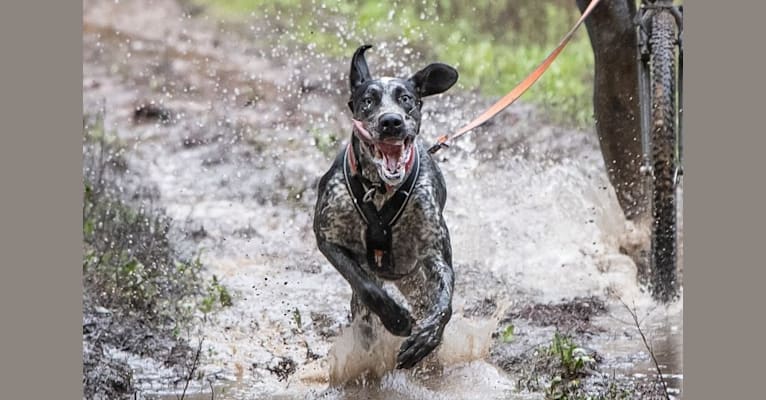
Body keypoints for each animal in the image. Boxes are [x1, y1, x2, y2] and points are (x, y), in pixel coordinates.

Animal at [314, 44, 460, 368]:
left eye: (406, 98)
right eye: (368, 101)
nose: (391, 121)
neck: (380, 190)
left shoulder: (435, 253)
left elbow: (444, 303)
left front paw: (427, 338)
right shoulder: (328, 239)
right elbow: (367, 287)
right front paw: (395, 318)